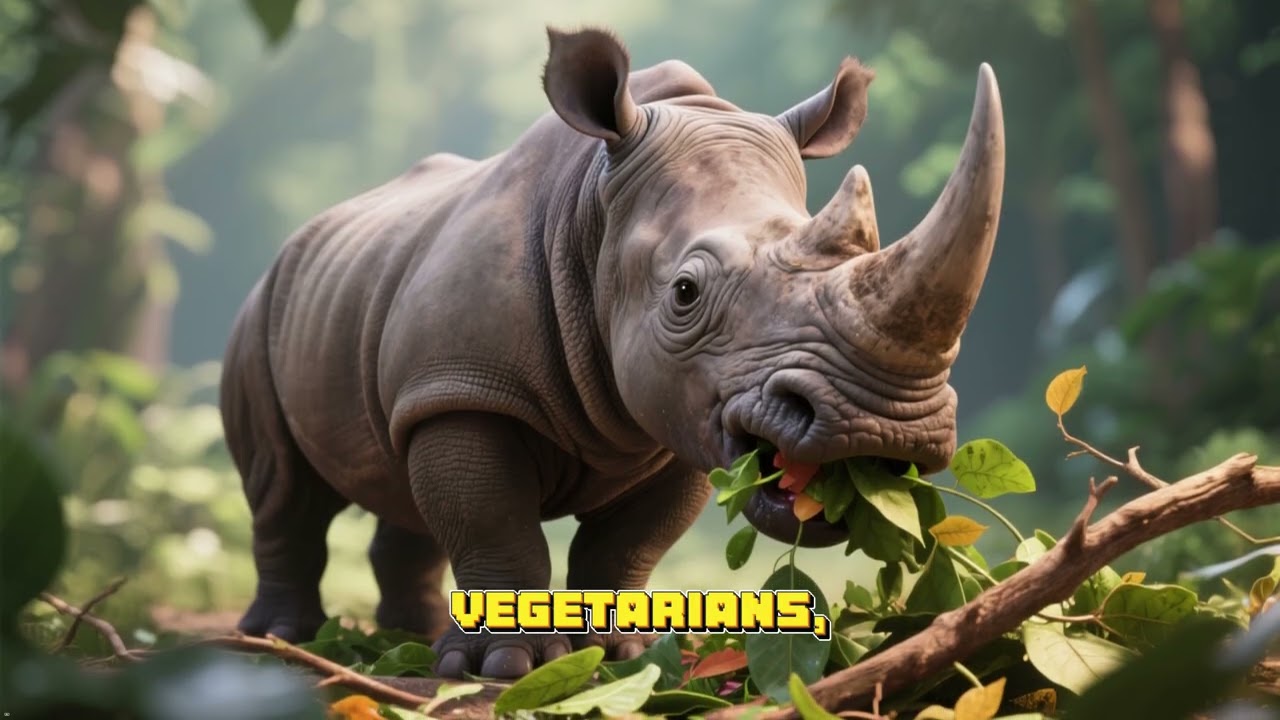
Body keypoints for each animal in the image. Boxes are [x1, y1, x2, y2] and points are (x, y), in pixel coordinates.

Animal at [220, 26, 1004, 679]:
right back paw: (283, 638)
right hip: (263, 309)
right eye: (685, 291)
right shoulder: (464, 387)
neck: (591, 216)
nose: (882, 427)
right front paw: (505, 667)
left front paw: (625, 653)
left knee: (400, 481)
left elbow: (630, 544)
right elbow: (492, 522)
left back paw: (408, 637)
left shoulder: (678, 416)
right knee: (284, 489)